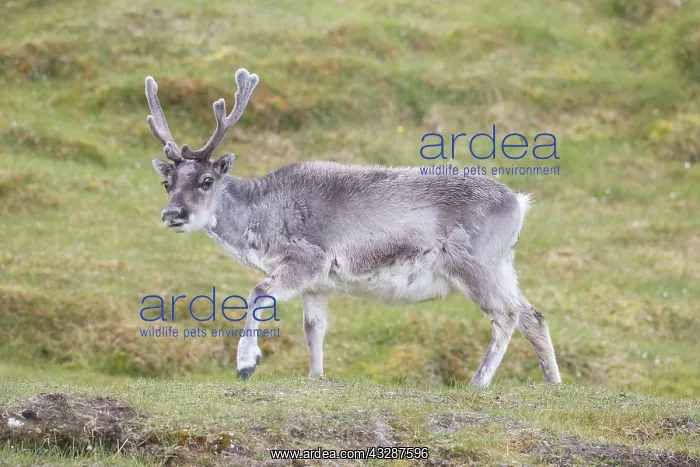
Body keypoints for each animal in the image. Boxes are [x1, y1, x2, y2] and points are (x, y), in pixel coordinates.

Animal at [144, 68, 562, 387]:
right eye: (167, 183)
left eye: (206, 181)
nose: (172, 214)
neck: (259, 216)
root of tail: (519, 203)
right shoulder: (317, 285)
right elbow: (314, 329)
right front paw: (315, 377)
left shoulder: (305, 260)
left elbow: (257, 292)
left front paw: (247, 363)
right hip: (502, 265)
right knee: (533, 314)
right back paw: (553, 382)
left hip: (473, 263)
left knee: (506, 315)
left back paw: (477, 382)